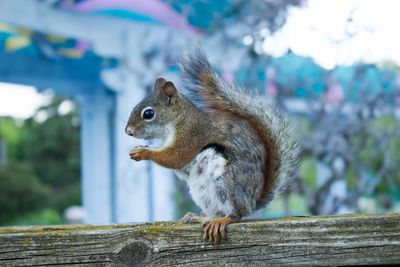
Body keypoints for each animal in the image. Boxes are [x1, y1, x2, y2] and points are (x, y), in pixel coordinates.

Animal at [126, 47, 298, 245]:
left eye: (148, 114)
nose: (128, 131)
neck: (177, 120)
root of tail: (251, 203)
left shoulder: (192, 135)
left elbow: (176, 157)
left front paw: (143, 152)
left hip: (226, 181)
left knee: (236, 214)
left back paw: (222, 220)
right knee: (215, 212)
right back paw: (199, 217)